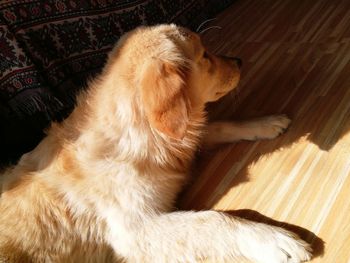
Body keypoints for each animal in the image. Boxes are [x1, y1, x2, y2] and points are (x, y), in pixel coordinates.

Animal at [0, 23, 312, 262]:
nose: (238, 60)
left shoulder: (180, 138)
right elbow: (212, 220)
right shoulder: (134, 229)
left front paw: (266, 122)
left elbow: (218, 125)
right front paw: (272, 240)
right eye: (204, 55)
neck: (138, 137)